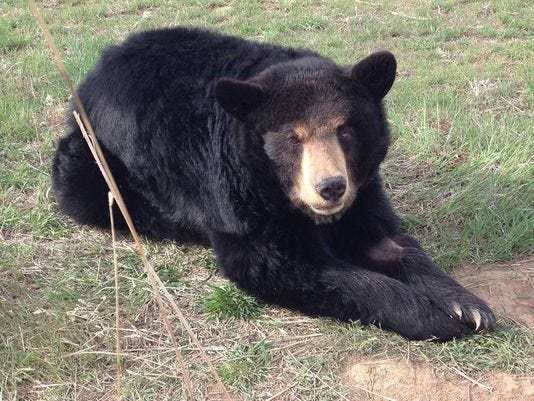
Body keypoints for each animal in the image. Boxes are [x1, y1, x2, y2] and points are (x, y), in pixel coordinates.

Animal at [52, 26, 496, 340]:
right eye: (292, 139)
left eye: (346, 131)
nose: (331, 187)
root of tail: (95, 70)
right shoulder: (237, 192)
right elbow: (278, 264)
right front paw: (434, 317)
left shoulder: (364, 188)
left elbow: (389, 242)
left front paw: (468, 306)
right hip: (93, 157)